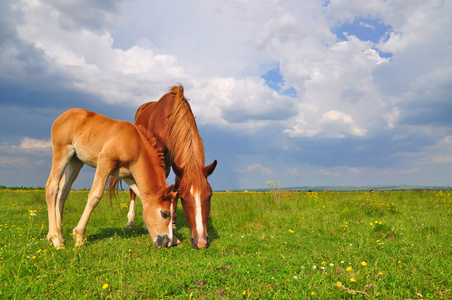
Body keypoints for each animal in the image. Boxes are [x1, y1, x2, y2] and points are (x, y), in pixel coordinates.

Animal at [45, 109, 177, 250]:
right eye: (164, 213)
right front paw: (79, 237)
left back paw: (59, 236)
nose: (168, 242)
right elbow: (95, 196)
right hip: (62, 151)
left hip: (76, 160)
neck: (136, 144)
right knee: (52, 186)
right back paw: (56, 240)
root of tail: (64, 115)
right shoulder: (105, 161)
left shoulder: (127, 176)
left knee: (64, 189)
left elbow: (141, 196)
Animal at [111, 84, 217, 248]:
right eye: (184, 199)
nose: (201, 241)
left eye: (210, 195)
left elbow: (174, 189)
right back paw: (130, 221)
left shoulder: (177, 164)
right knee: (133, 190)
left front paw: (172, 224)